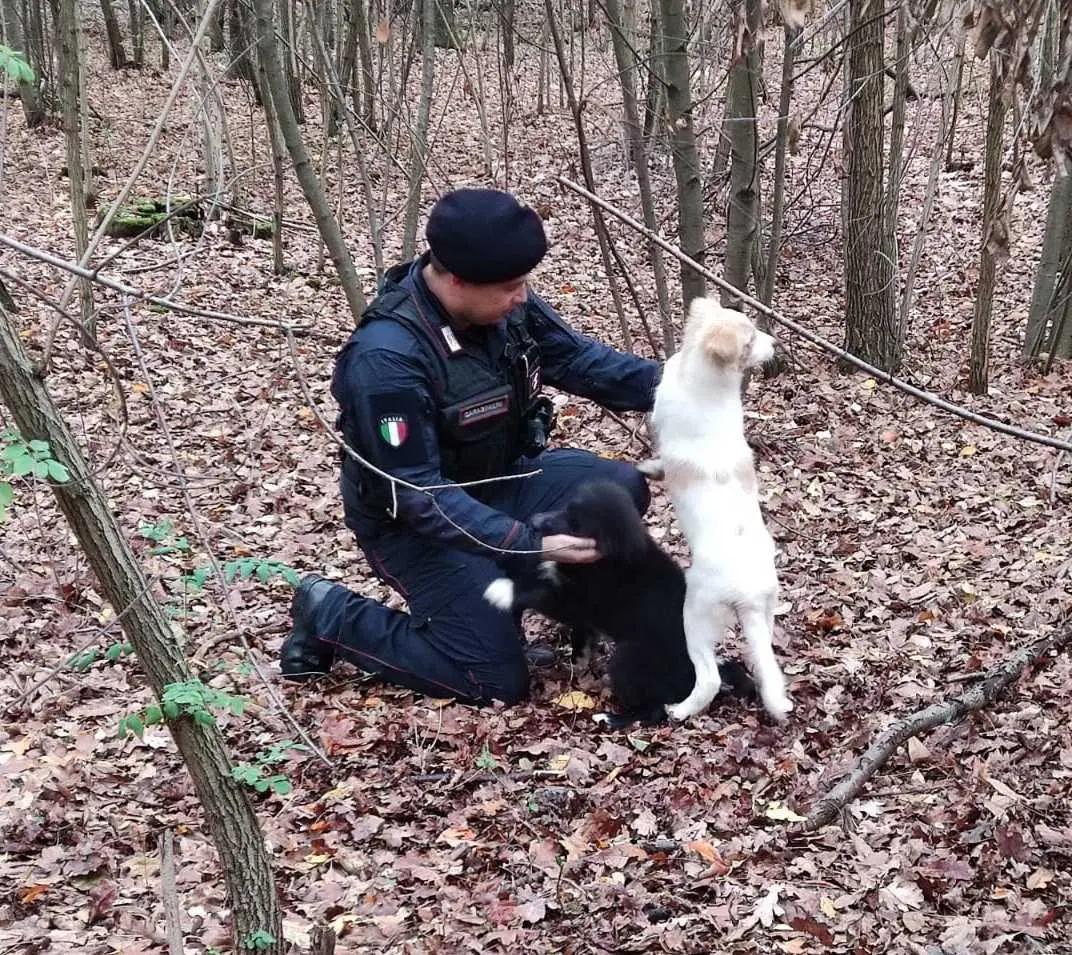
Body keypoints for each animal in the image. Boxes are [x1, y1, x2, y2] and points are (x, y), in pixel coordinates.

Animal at [486, 478, 754, 724]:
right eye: (565, 508)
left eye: (575, 524)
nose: (534, 520)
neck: (607, 556)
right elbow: (582, 632)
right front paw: (580, 657)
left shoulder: (575, 600)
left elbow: (538, 594)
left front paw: (500, 591)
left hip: (628, 661)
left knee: (654, 711)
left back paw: (611, 718)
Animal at [638, 295, 793, 720]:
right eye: (751, 338)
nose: (775, 344)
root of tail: (748, 595)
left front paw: (649, 468)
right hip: (767, 611)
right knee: (762, 659)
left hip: (694, 614)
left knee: (707, 679)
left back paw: (679, 710)